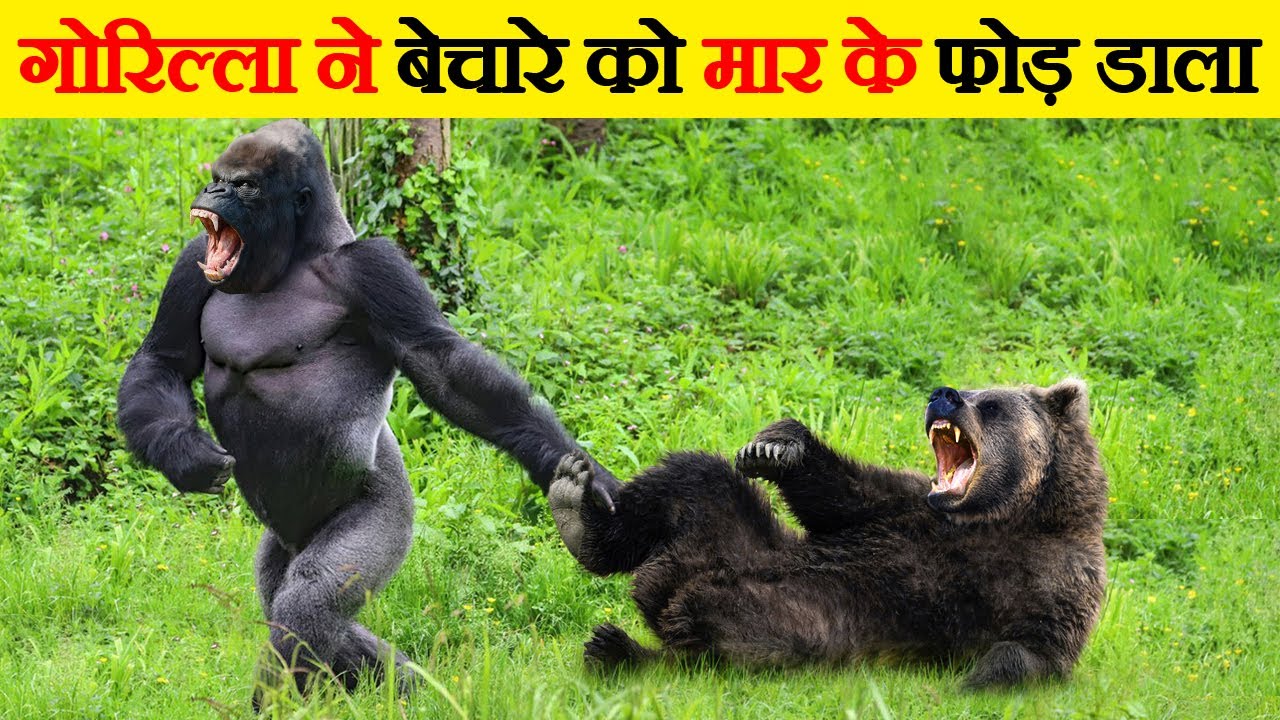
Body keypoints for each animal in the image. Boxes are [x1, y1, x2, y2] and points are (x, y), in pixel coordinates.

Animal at [547, 379, 1108, 688]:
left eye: (991, 404)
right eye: (968, 388)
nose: (942, 396)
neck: (1005, 515)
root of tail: (668, 582)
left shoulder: (1060, 576)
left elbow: (1038, 647)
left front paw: (973, 682)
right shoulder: (907, 506)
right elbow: (840, 499)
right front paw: (775, 446)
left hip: (801, 620)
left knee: (719, 648)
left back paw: (621, 651)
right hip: (730, 534)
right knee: (692, 478)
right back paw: (576, 510)